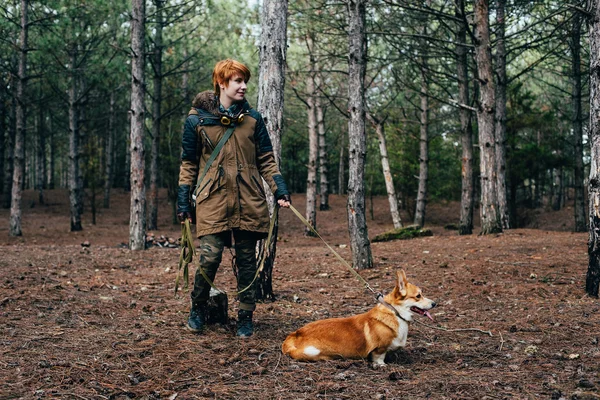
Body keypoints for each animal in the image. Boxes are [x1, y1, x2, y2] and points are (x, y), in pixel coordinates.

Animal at [282, 268, 436, 366]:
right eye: (418, 296)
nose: (435, 303)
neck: (395, 313)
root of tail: (295, 334)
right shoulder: (379, 349)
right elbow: (379, 357)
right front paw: (381, 365)